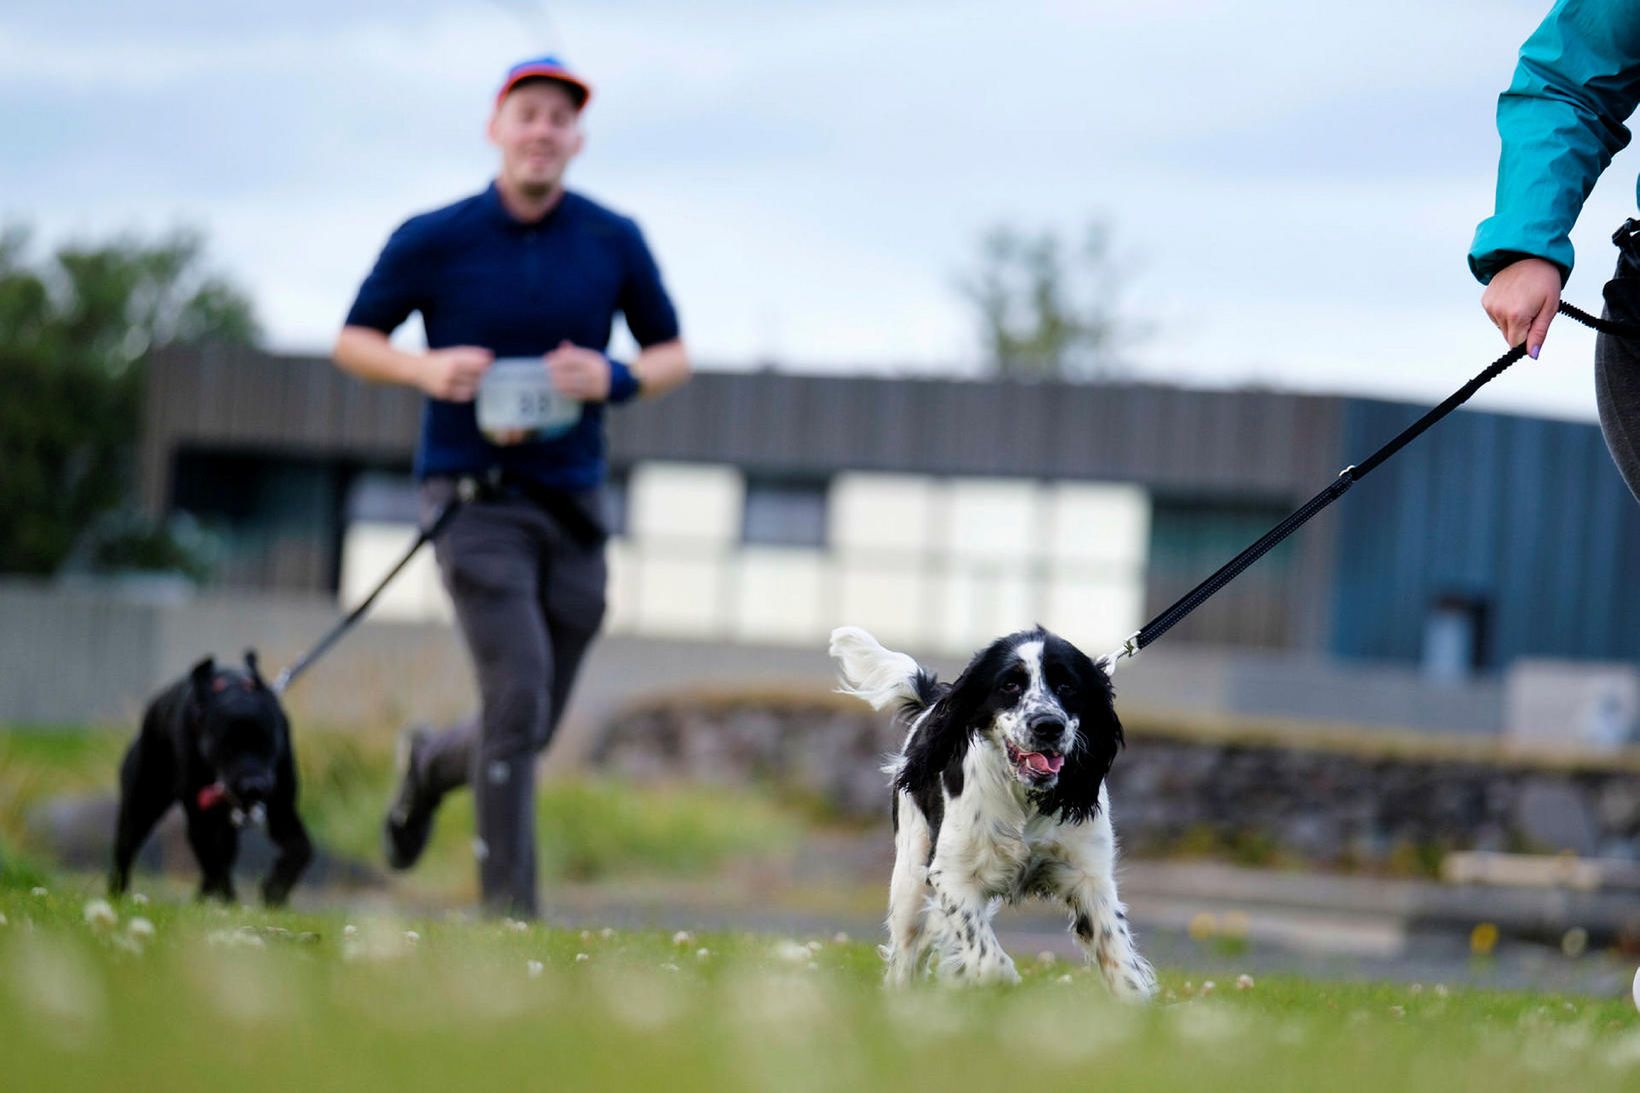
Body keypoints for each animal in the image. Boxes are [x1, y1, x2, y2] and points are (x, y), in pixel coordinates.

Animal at [111, 649, 313, 899]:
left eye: (268, 742)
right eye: (224, 747)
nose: (253, 786)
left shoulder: (282, 810)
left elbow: (301, 849)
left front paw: (275, 889)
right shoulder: (200, 818)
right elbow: (215, 867)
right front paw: (230, 904)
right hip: (141, 803)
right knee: (124, 849)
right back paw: (118, 894)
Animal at [833, 620, 1154, 997]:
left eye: (1067, 685)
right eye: (1010, 684)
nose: (1048, 725)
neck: (1025, 798)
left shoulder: (1091, 876)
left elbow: (1122, 964)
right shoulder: (950, 874)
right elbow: (989, 962)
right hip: (910, 876)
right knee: (906, 952)